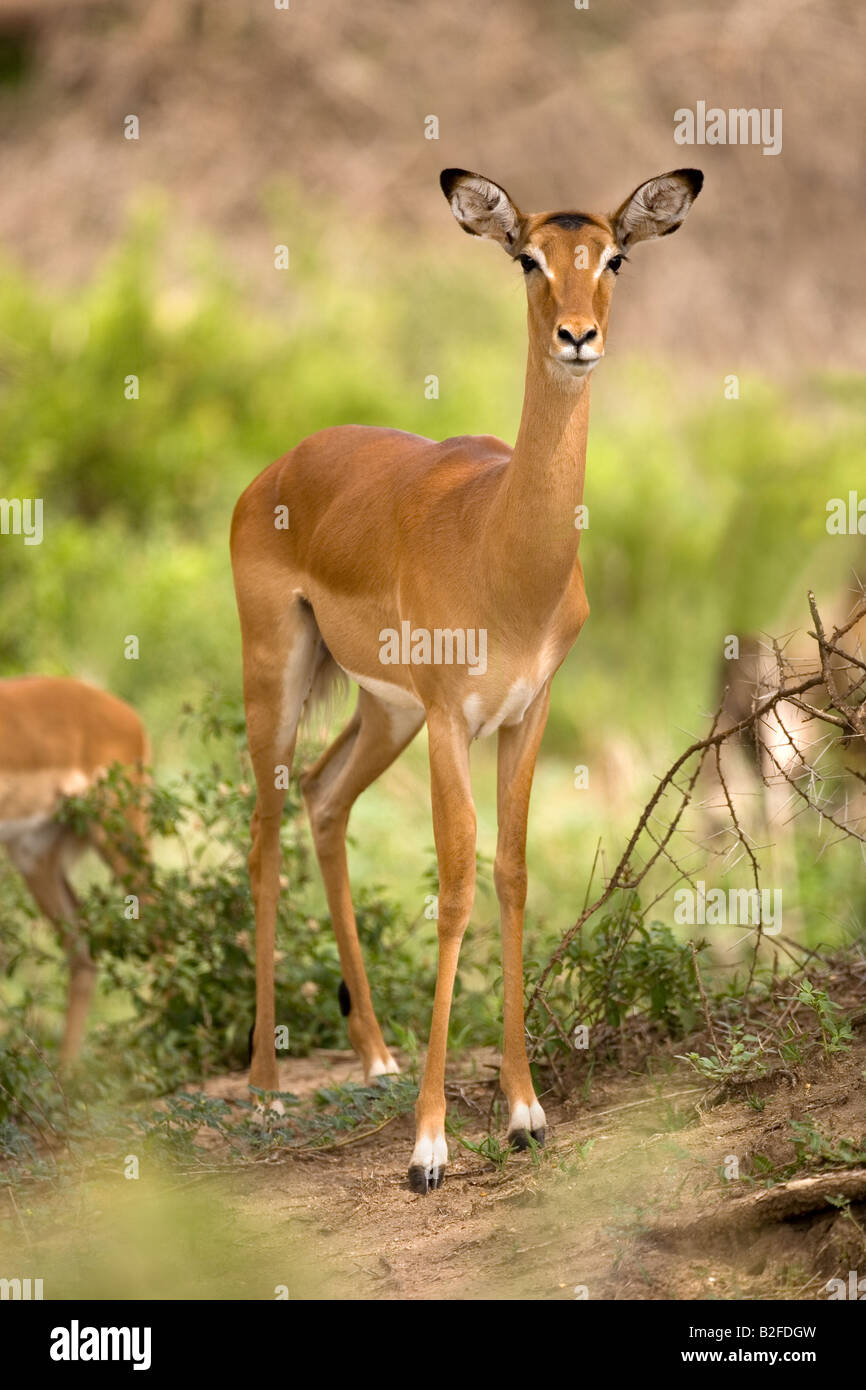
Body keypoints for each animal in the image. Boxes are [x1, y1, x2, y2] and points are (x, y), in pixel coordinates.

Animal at [231, 165, 703, 1192]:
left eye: (615, 256)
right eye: (527, 257)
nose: (578, 337)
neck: (503, 551)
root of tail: (278, 467)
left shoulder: (526, 714)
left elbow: (515, 874)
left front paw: (526, 1110)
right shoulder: (454, 722)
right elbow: (453, 887)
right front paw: (428, 1146)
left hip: (382, 711)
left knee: (325, 798)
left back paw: (375, 1054)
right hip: (279, 677)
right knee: (264, 835)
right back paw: (265, 1085)